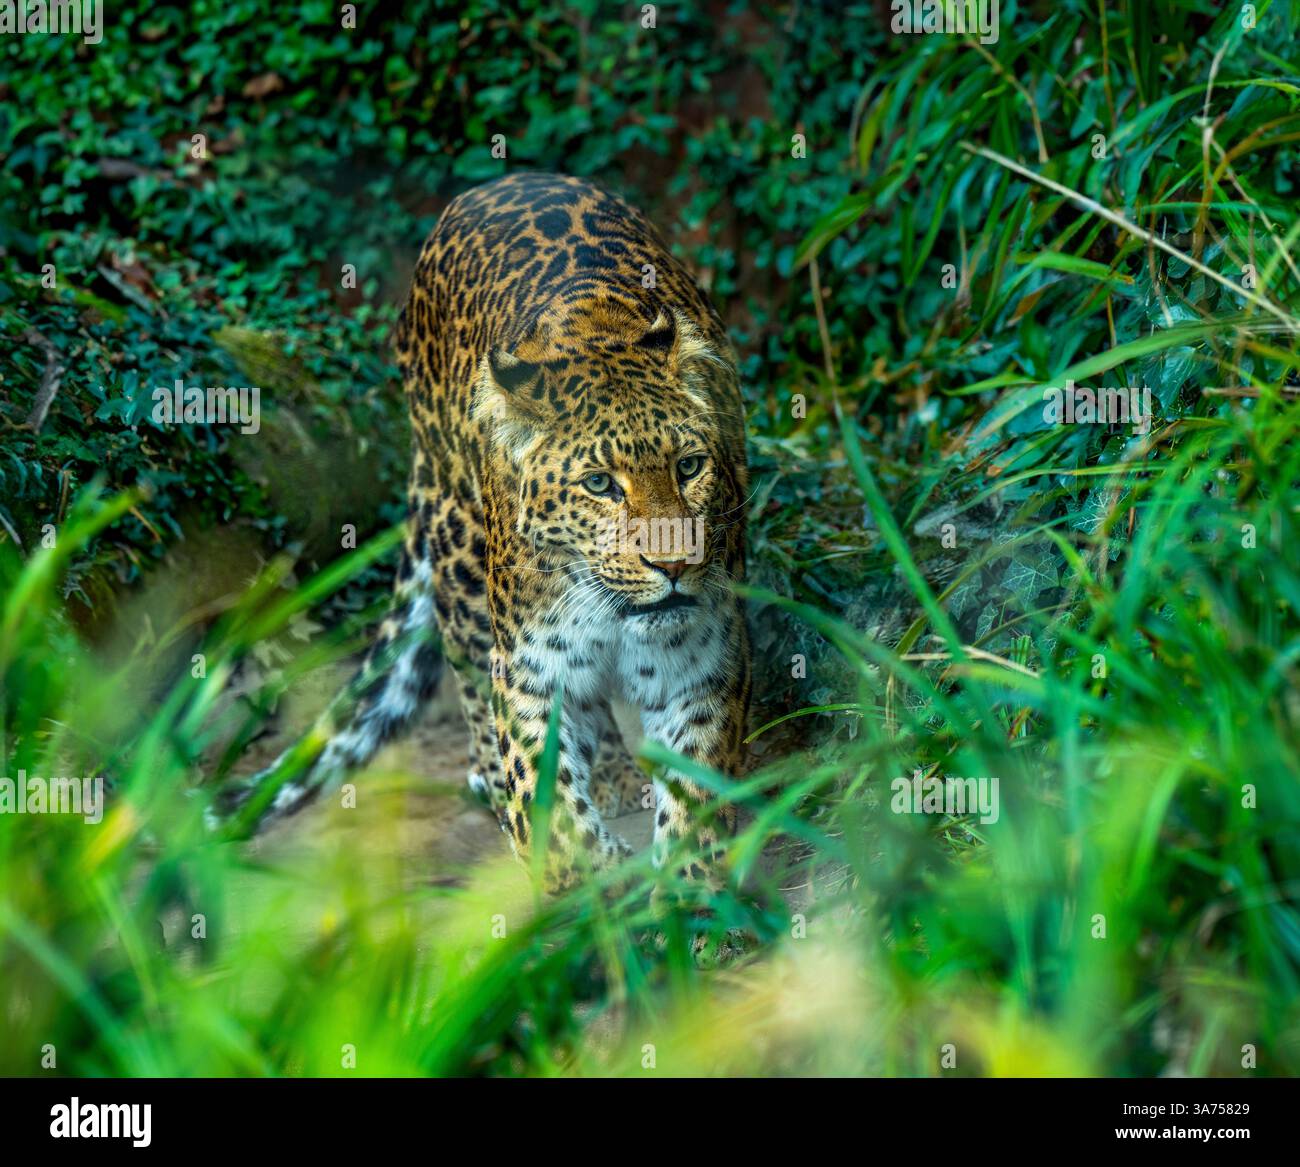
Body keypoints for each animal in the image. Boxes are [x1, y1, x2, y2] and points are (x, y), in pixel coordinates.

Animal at [222, 172, 751, 893]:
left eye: (690, 466)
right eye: (599, 484)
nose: (673, 566)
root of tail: (495, 183)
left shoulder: (704, 658)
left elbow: (698, 788)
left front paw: (690, 898)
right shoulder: (530, 668)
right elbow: (545, 791)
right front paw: (582, 875)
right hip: (457, 551)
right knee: (472, 677)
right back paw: (501, 787)